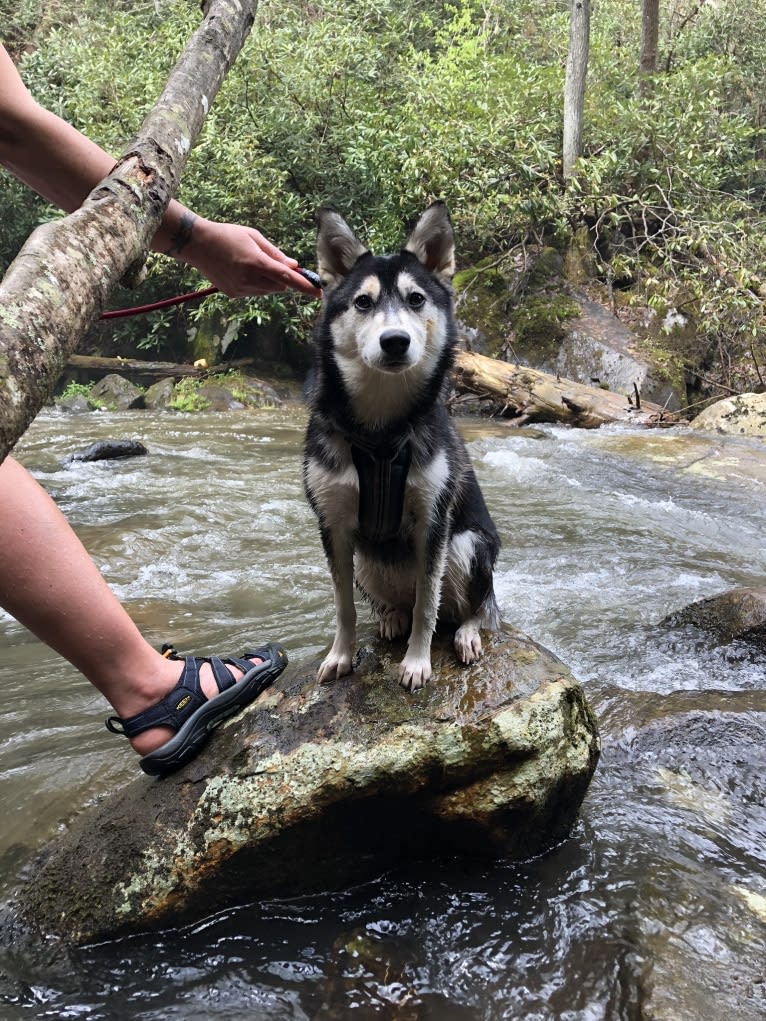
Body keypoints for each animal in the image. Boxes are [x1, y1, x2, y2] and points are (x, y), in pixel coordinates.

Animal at [302, 202, 500, 690]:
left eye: (415, 299)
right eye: (362, 302)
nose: (395, 341)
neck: (379, 433)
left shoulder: (433, 522)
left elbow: (428, 603)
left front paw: (416, 662)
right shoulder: (333, 525)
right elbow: (344, 607)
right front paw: (341, 655)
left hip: (468, 545)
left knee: (475, 608)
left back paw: (467, 632)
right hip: (367, 562)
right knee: (395, 604)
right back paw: (392, 616)